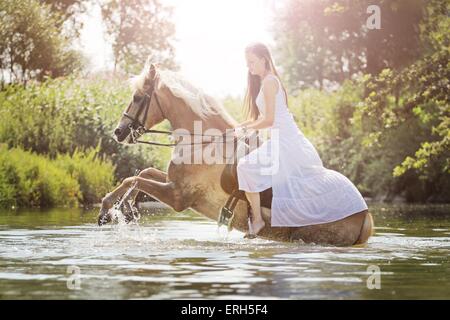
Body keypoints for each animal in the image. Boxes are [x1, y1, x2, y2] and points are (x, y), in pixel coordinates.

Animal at [97, 63, 372, 248]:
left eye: (137, 97)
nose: (119, 131)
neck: (203, 143)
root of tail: (365, 213)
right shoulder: (172, 181)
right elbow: (142, 174)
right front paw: (122, 210)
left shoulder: (177, 197)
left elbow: (135, 179)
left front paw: (110, 210)